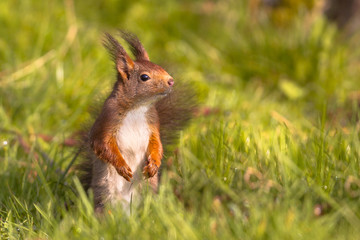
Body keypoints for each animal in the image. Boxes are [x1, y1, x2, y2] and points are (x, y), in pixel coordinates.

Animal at [78, 31, 195, 212]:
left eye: (160, 67)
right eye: (144, 77)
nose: (171, 81)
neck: (137, 107)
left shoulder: (153, 123)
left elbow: (157, 143)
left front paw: (154, 164)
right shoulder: (107, 120)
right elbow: (102, 145)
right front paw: (122, 167)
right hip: (105, 195)